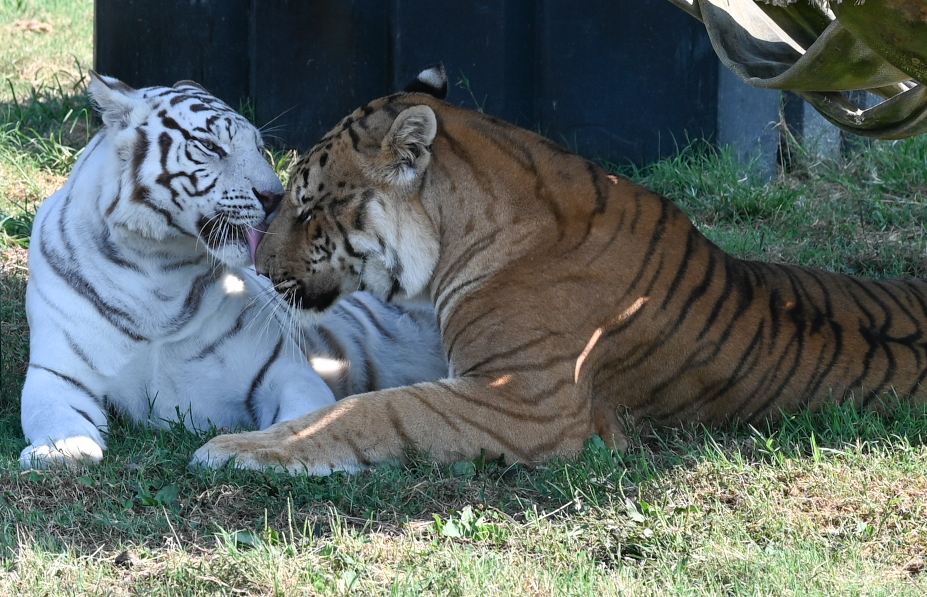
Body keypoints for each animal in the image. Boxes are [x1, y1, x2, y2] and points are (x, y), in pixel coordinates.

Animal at [17, 72, 446, 468]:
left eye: (259, 147)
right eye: (210, 146)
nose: (274, 197)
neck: (157, 267)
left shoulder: (280, 368)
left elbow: (302, 416)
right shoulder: (57, 373)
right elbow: (54, 415)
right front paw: (63, 451)